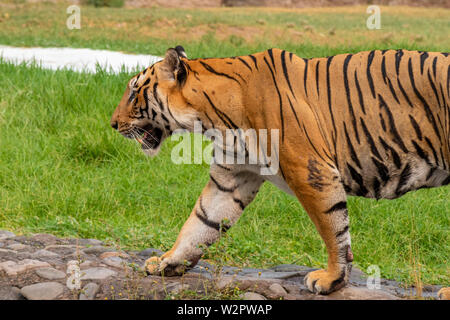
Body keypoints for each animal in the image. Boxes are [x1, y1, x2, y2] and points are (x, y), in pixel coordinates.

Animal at [110, 46, 450, 296]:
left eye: (133, 93)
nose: (112, 124)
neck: (210, 119)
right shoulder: (232, 178)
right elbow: (200, 224)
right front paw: (167, 262)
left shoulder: (310, 171)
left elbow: (333, 229)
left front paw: (332, 279)